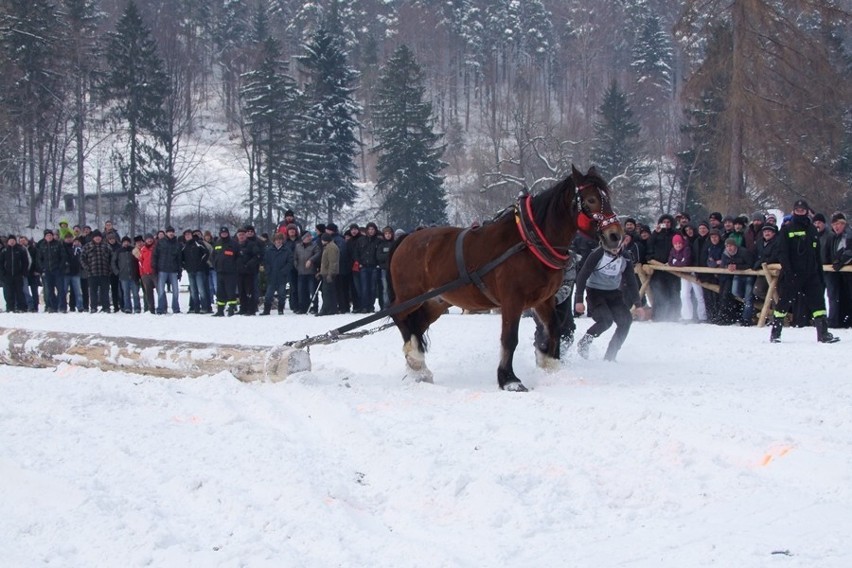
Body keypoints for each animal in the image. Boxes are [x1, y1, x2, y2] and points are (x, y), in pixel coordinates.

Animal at [388, 164, 624, 390]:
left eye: (608, 197)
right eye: (591, 199)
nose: (615, 236)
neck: (529, 243)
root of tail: (407, 238)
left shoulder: (543, 300)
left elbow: (554, 328)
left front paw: (550, 364)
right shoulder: (512, 301)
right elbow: (509, 338)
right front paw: (509, 380)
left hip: (437, 301)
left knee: (416, 325)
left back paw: (420, 369)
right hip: (410, 297)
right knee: (398, 314)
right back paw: (415, 358)